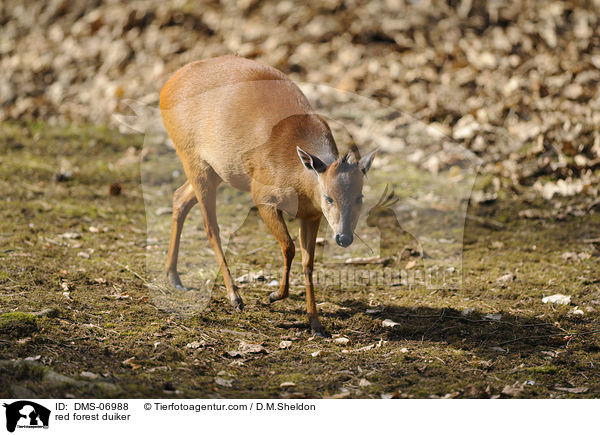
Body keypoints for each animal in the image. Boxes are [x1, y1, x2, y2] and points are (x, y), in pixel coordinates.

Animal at [159, 56, 376, 338]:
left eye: (360, 197)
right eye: (329, 198)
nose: (344, 237)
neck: (298, 177)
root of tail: (166, 87)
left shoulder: (311, 215)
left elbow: (308, 262)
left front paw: (315, 323)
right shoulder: (262, 196)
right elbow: (289, 247)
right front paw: (275, 295)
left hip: (217, 169)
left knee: (179, 198)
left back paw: (173, 276)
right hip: (192, 157)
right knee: (211, 227)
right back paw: (234, 296)